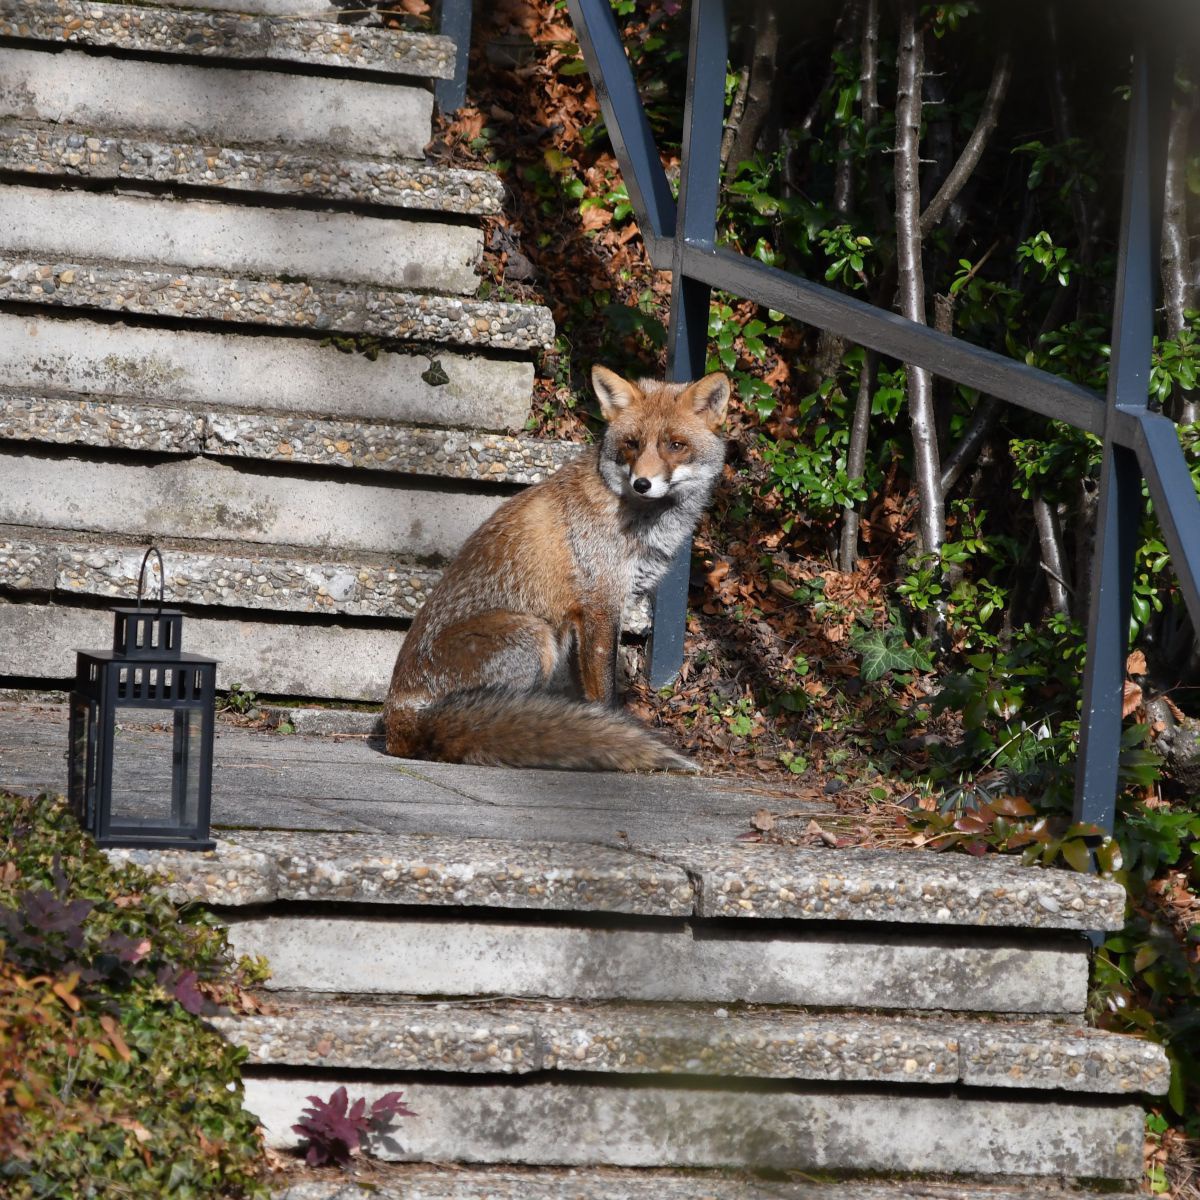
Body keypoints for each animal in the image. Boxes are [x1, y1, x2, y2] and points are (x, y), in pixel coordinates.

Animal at [379, 364, 729, 772]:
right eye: (632, 444)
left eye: (675, 445)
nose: (642, 483)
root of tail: (398, 720)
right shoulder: (601, 604)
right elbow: (603, 689)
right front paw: (610, 730)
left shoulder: (588, 617)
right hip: (535, 636)